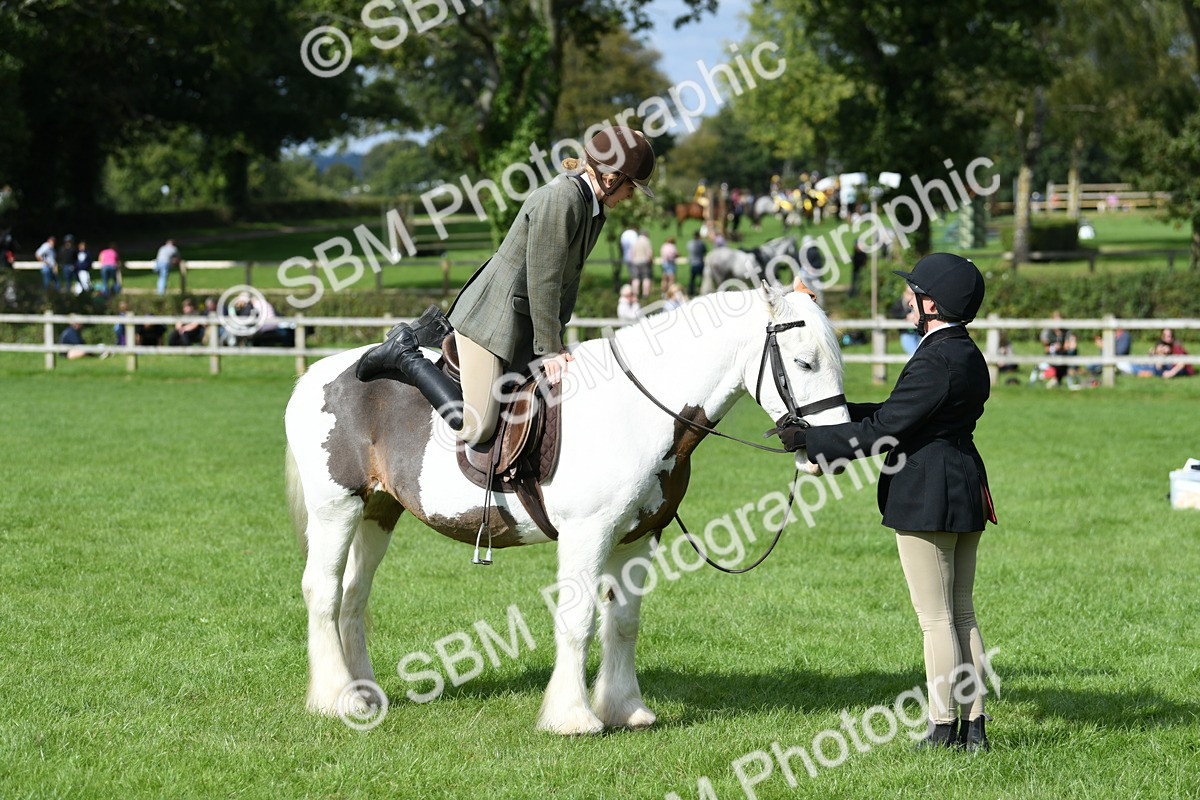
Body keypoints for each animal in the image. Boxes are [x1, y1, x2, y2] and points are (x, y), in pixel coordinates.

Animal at [284, 287, 849, 735]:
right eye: (804, 363)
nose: (833, 451)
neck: (636, 410)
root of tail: (317, 375)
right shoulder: (587, 534)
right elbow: (579, 621)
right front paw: (572, 717)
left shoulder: (639, 536)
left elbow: (623, 621)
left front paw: (626, 710)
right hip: (337, 508)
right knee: (323, 592)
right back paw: (338, 701)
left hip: (378, 511)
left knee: (353, 597)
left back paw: (363, 693)